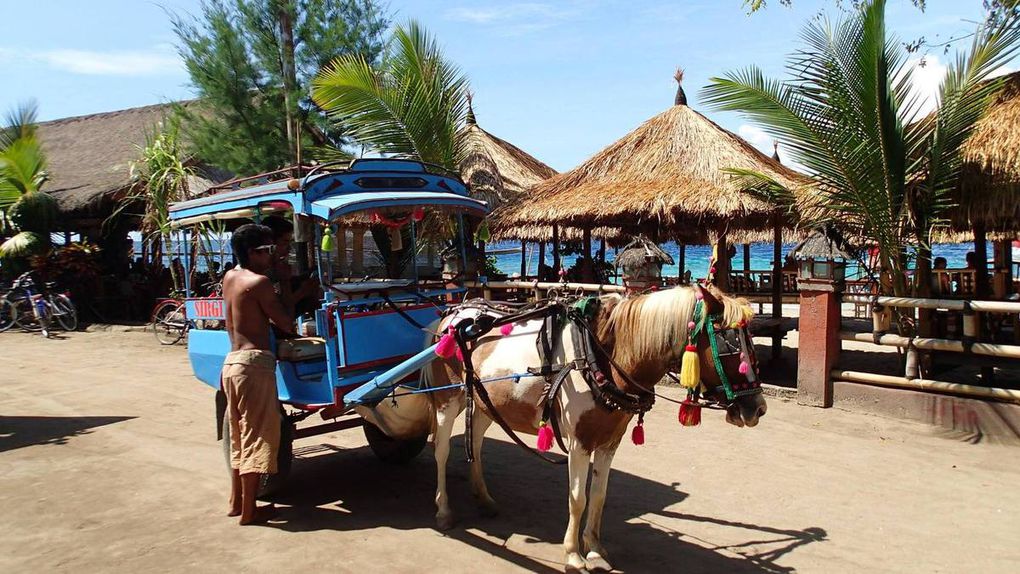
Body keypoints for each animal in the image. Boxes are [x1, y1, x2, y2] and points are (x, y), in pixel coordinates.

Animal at [414, 285, 767, 570]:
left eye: (751, 342)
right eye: (729, 343)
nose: (758, 408)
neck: (601, 356)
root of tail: (452, 315)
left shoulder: (609, 442)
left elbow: (598, 496)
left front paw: (595, 550)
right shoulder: (579, 443)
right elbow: (577, 499)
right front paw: (573, 554)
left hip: (486, 403)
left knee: (475, 444)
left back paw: (484, 498)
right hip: (447, 402)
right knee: (442, 452)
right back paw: (443, 510)